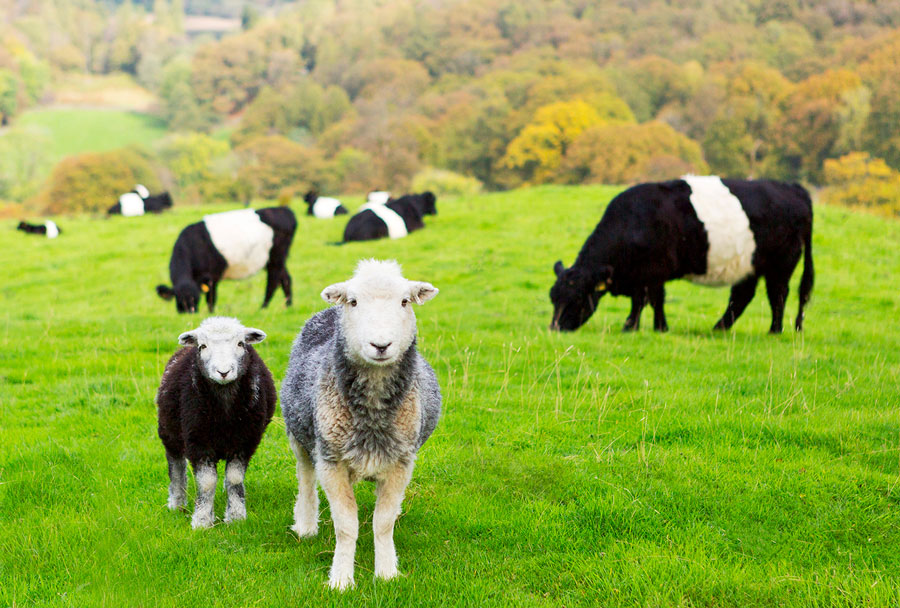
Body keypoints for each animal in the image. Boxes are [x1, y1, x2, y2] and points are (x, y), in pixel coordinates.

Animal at [155, 209, 296, 314]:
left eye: (196, 299)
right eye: (179, 300)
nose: (189, 313)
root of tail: (284, 210)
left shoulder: (212, 277)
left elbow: (211, 299)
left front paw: (211, 314)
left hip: (275, 257)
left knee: (273, 281)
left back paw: (263, 308)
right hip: (275, 259)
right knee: (285, 279)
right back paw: (288, 305)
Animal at [156, 316, 274, 528]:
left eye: (240, 343)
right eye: (202, 346)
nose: (223, 372)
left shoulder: (244, 441)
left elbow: (234, 479)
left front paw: (235, 517)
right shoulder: (197, 440)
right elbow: (207, 482)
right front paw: (202, 521)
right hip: (169, 433)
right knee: (176, 466)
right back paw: (177, 504)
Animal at [278, 260, 440, 588]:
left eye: (405, 301)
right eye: (353, 302)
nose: (380, 345)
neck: (372, 414)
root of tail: (329, 311)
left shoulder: (401, 462)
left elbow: (383, 523)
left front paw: (387, 573)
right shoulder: (331, 462)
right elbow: (346, 526)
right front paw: (341, 579)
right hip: (300, 434)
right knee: (305, 477)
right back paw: (306, 524)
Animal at [548, 176, 816, 334]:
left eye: (578, 297)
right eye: (553, 297)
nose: (555, 327)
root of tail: (793, 188)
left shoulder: (651, 271)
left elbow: (645, 300)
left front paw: (632, 326)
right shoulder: (647, 275)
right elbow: (654, 299)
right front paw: (658, 327)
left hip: (781, 264)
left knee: (777, 295)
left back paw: (774, 330)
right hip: (749, 264)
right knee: (742, 296)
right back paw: (719, 328)